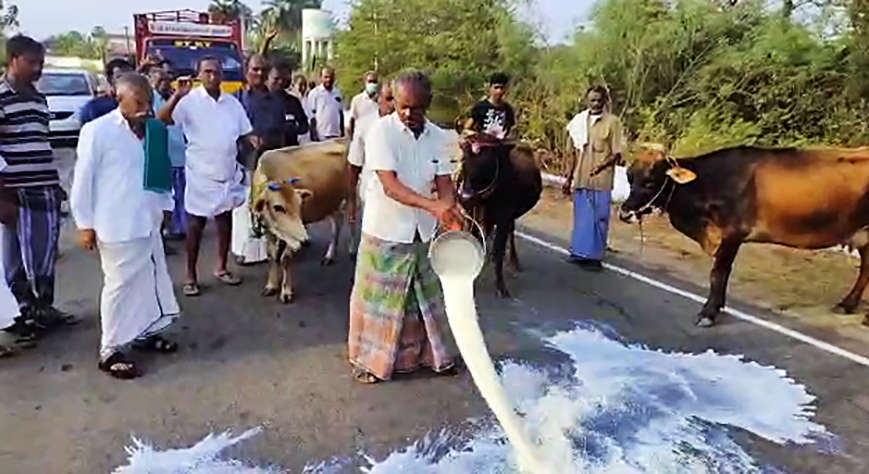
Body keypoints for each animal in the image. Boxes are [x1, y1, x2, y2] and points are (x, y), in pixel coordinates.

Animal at [620, 143, 869, 326]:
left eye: (650, 182)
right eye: (630, 177)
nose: (624, 213)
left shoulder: (732, 234)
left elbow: (718, 273)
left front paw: (708, 313)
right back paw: (847, 305)